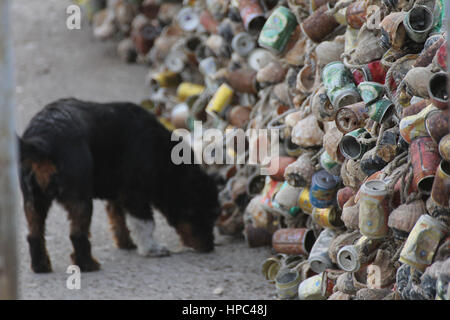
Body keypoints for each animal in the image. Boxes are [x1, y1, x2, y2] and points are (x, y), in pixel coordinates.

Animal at [19, 98, 220, 272]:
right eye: (201, 213)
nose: (210, 246)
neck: (161, 156)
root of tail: (42, 141)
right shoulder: (134, 195)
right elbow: (145, 223)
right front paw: (151, 249)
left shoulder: (118, 195)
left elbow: (118, 218)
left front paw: (126, 243)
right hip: (80, 200)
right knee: (77, 235)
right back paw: (88, 265)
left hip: (33, 201)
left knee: (34, 236)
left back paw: (41, 266)